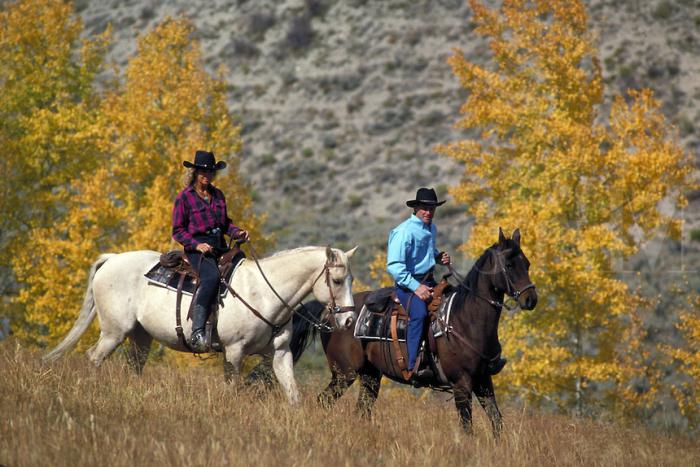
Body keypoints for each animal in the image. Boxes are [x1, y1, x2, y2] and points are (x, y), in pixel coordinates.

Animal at [45, 247, 356, 404]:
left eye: (351, 279)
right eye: (337, 280)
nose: (349, 320)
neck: (264, 293)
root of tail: (111, 259)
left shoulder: (279, 354)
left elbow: (293, 394)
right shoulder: (234, 352)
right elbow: (230, 391)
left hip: (140, 336)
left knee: (133, 365)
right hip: (113, 332)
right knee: (94, 358)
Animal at [288, 229, 540, 436]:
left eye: (527, 264)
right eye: (509, 265)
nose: (531, 300)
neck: (466, 319)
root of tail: (331, 312)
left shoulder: (483, 379)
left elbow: (497, 421)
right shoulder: (461, 383)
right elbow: (467, 426)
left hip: (370, 376)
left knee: (361, 409)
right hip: (344, 373)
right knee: (324, 401)